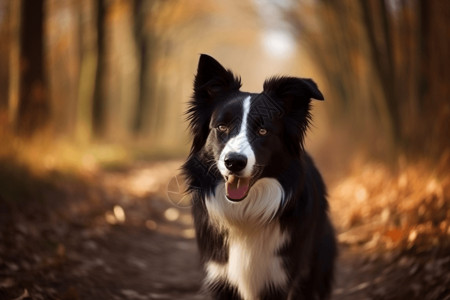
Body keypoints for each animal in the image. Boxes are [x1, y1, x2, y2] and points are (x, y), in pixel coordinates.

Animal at [182, 54, 334, 300]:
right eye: (222, 127)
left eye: (263, 131)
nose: (234, 162)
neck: (246, 212)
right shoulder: (220, 275)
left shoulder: (279, 277)